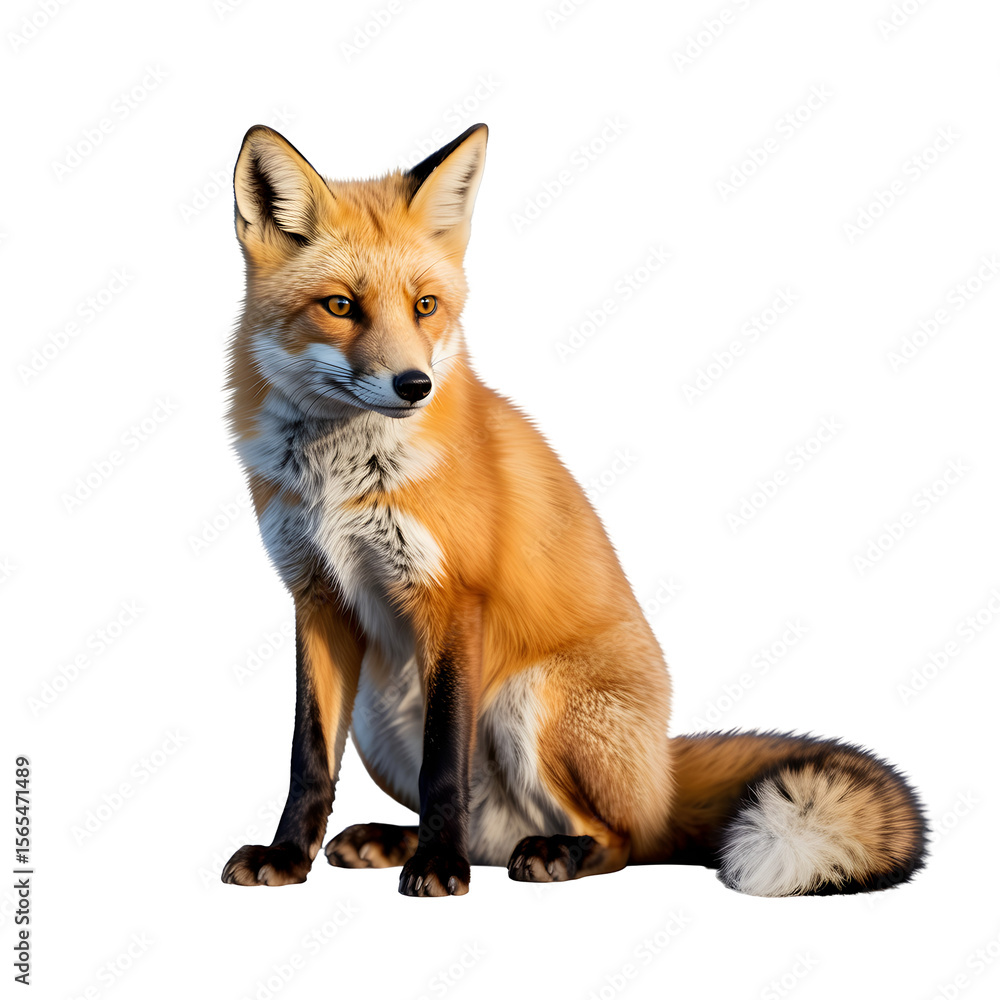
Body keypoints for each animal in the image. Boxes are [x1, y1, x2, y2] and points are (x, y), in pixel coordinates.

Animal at [221, 123, 927, 897]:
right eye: (341, 305)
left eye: (425, 306)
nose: (414, 385)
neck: (339, 478)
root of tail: (661, 775)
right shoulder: (316, 597)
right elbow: (308, 758)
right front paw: (288, 856)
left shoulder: (453, 598)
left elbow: (444, 764)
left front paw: (438, 868)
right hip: (381, 713)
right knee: (493, 829)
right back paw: (397, 840)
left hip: (530, 699)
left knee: (620, 839)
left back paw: (547, 852)